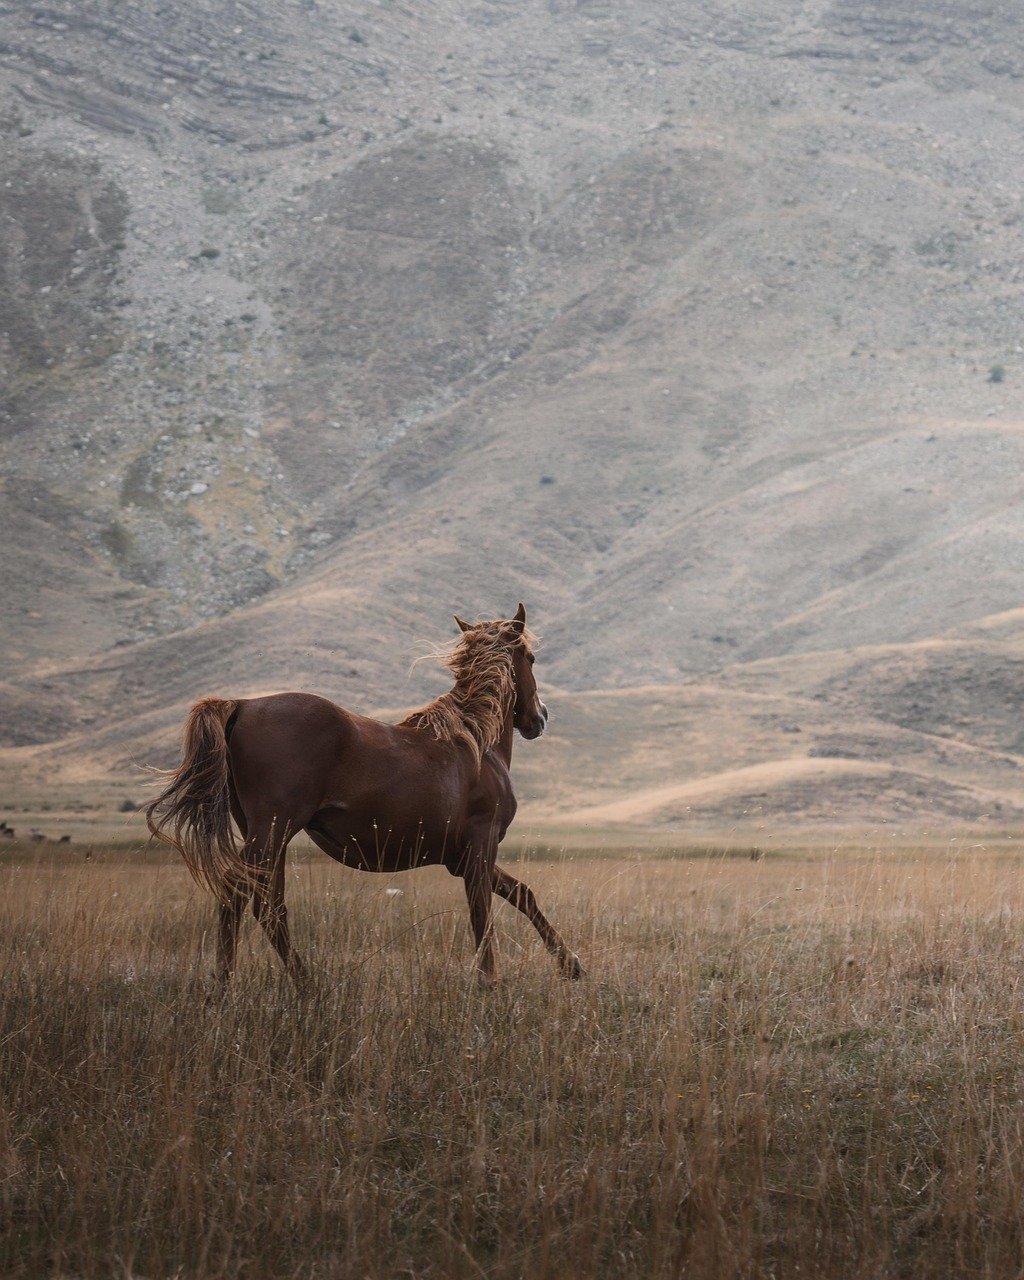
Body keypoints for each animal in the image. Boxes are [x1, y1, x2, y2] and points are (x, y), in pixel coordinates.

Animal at [146, 603, 582, 988]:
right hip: (272, 830)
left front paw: (570, 964)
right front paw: (488, 979)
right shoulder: (480, 845)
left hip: (271, 835)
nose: (540, 717)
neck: (474, 742)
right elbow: (483, 914)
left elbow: (521, 894)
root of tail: (242, 705)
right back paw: (236, 983)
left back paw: (297, 983)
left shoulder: (459, 858)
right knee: (241, 895)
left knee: (268, 906)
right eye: (530, 657)